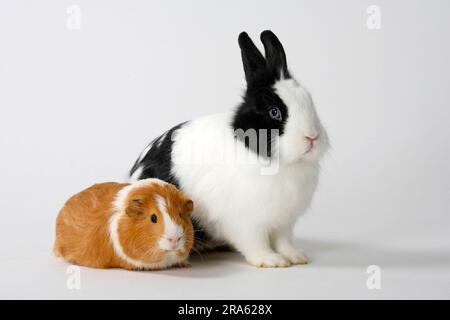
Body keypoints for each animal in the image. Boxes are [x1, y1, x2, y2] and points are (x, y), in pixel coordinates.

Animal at [128, 31, 328, 268]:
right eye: (274, 112)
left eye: (309, 100)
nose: (312, 136)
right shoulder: (247, 222)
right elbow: (256, 243)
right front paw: (271, 260)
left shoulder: (284, 222)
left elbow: (283, 240)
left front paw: (295, 257)